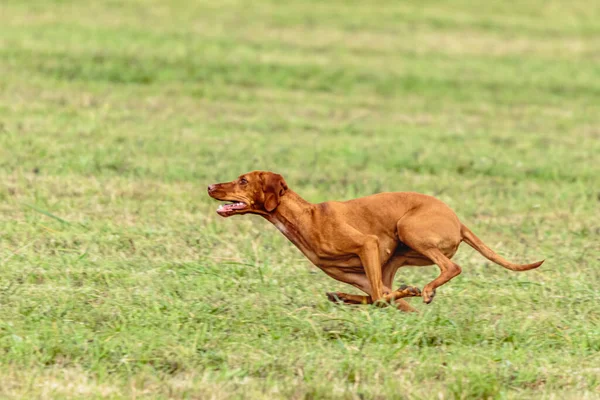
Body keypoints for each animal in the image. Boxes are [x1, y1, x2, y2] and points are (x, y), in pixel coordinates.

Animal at [207, 170, 544, 310]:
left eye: (243, 180)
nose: (210, 186)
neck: (308, 217)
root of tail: (458, 221)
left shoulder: (367, 245)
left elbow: (382, 296)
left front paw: (409, 292)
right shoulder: (363, 275)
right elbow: (379, 296)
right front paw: (346, 297)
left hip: (409, 229)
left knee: (452, 267)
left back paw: (425, 290)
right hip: (398, 255)